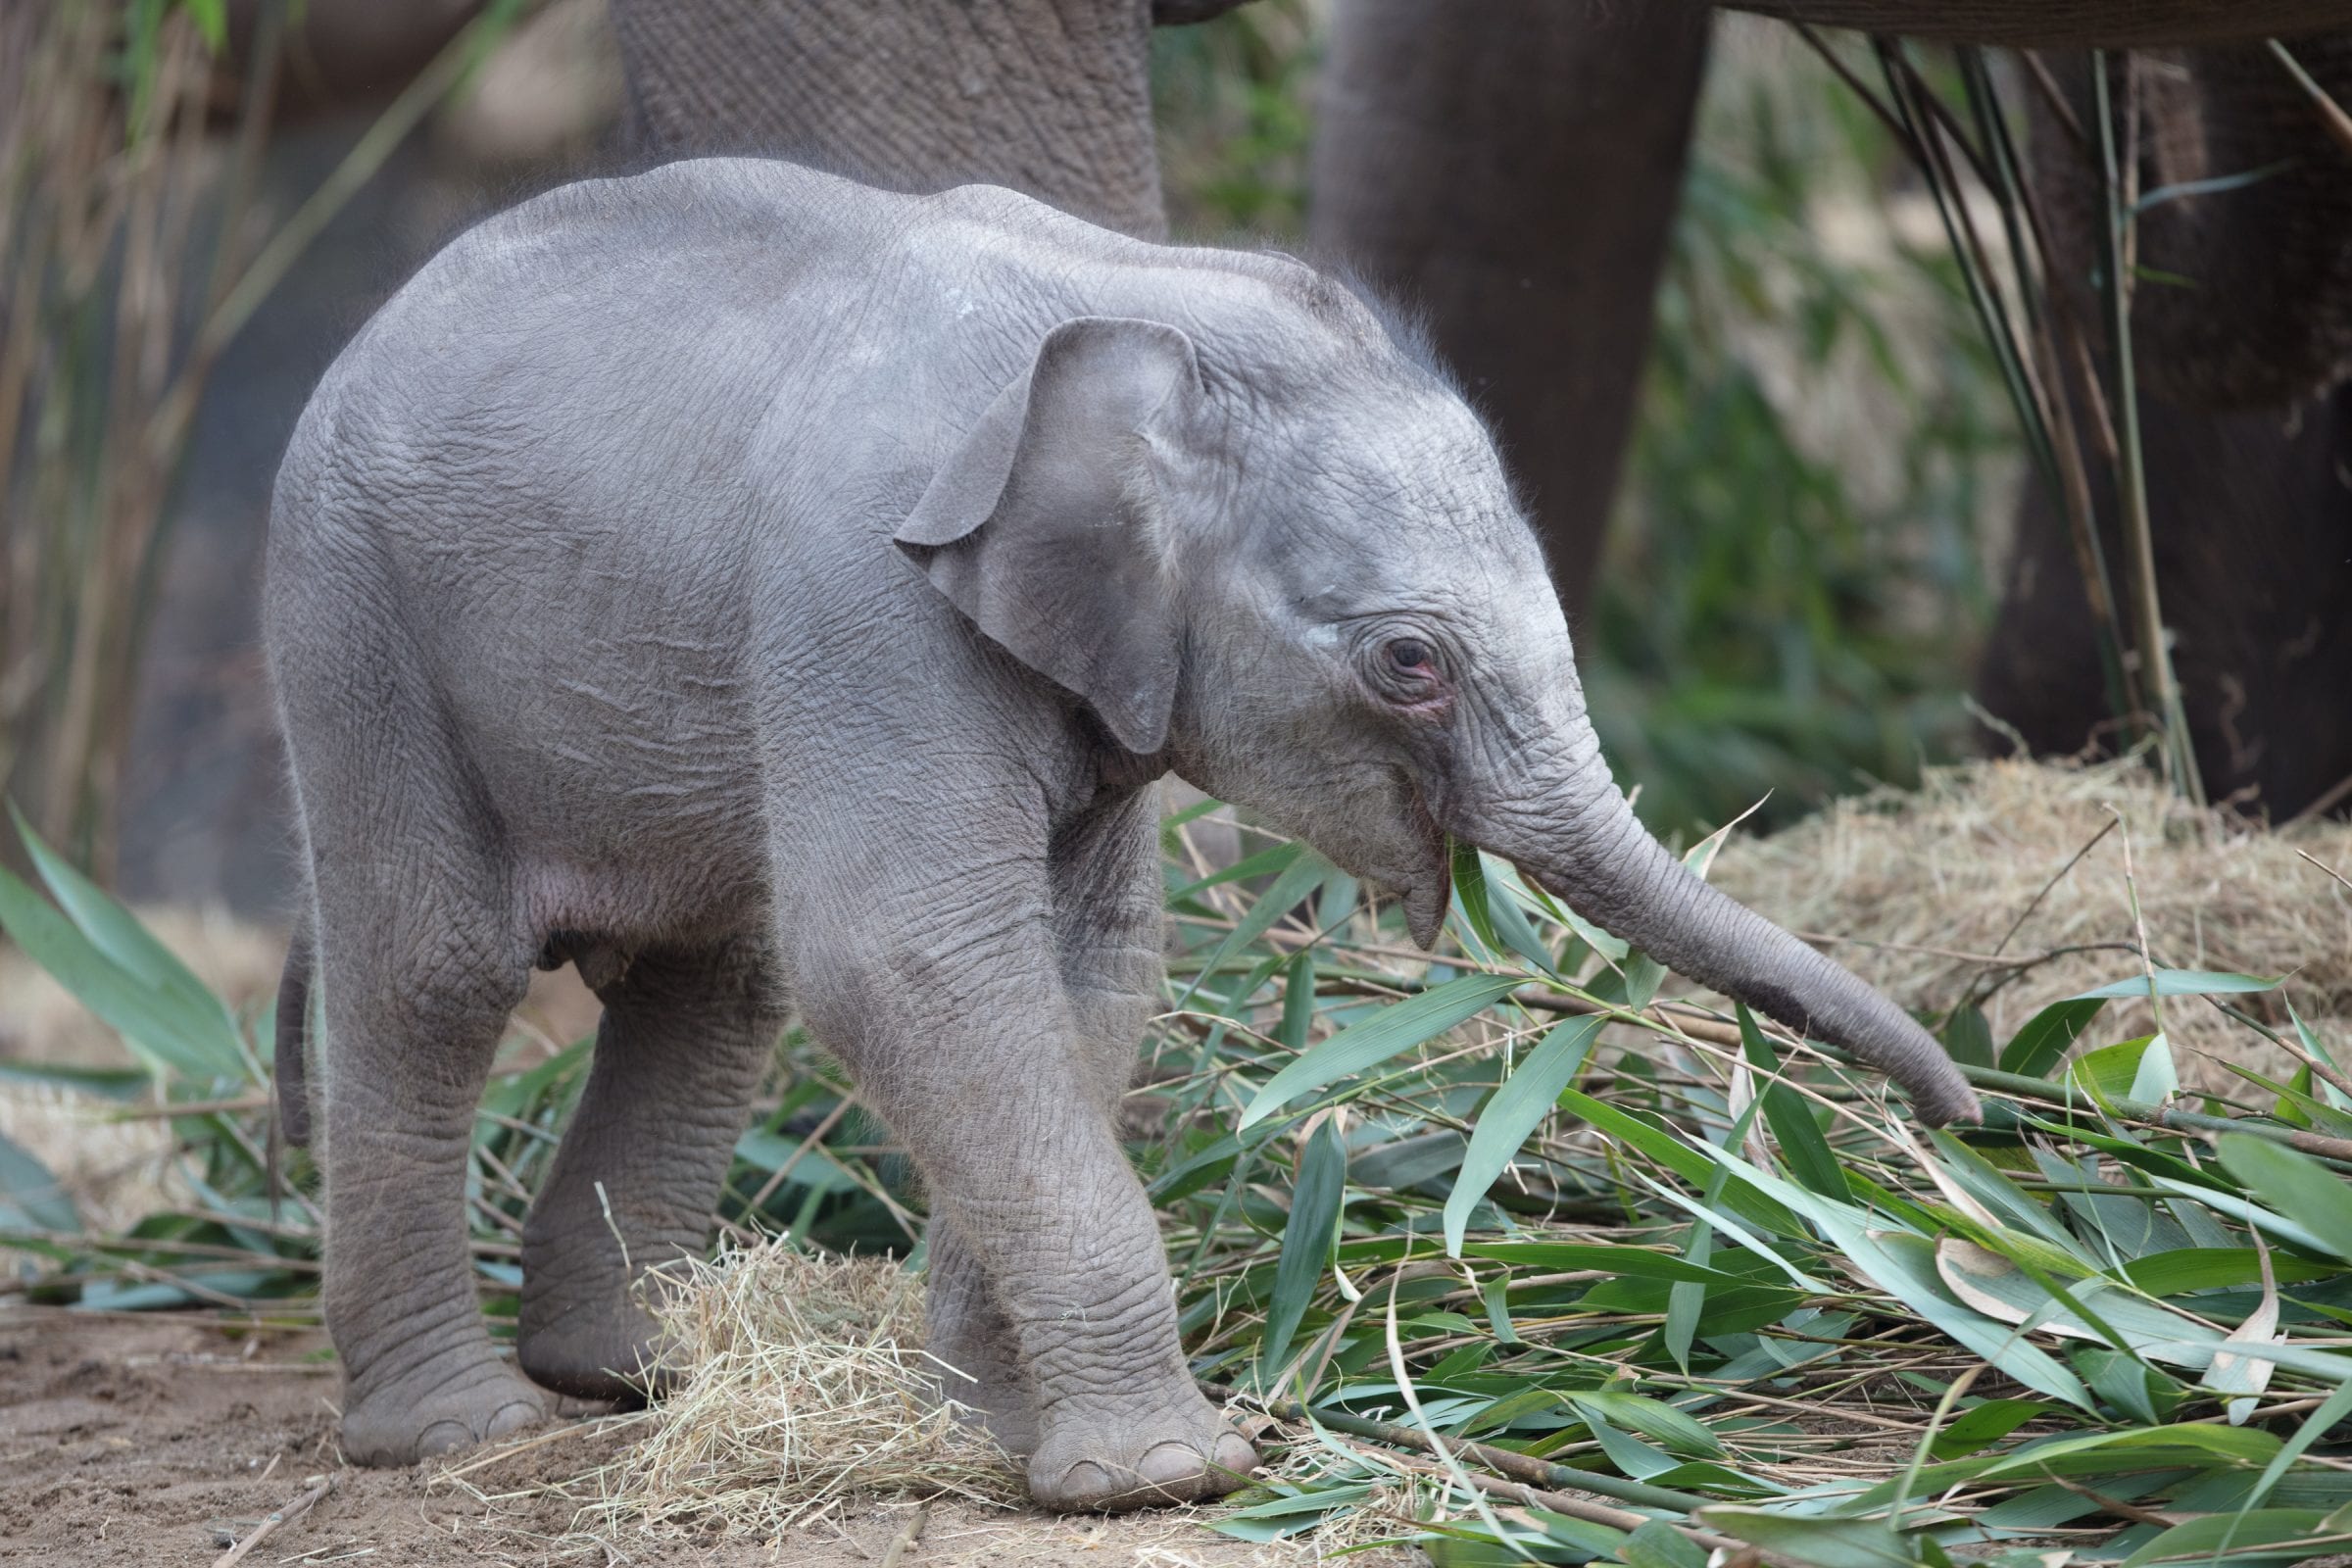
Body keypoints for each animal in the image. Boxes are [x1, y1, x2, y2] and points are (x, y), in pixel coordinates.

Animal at [264, 157, 1977, 1507]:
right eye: (1407, 663)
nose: (1966, 1128)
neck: (1141, 295)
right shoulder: (861, 598)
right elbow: (911, 958)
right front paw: (1165, 1475)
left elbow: (1084, 966)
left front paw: (993, 1437)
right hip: (353, 624)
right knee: (436, 975)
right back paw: (465, 1431)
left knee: (713, 981)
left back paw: (633, 1375)